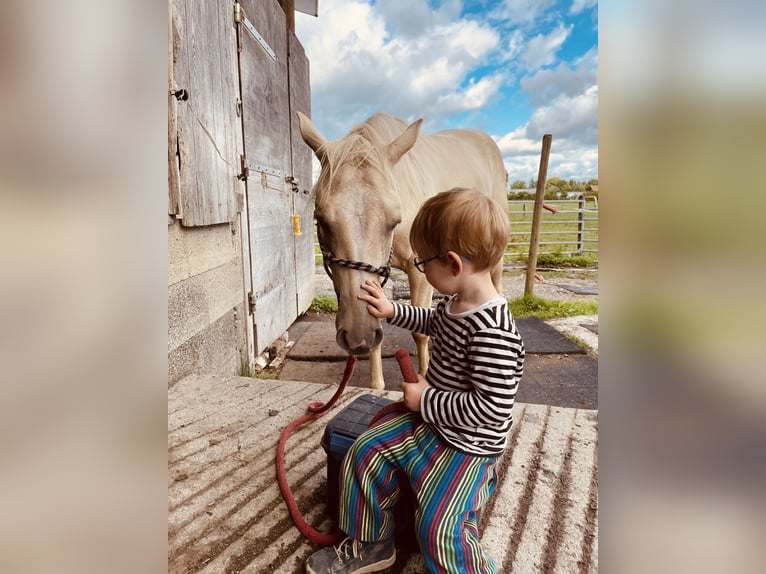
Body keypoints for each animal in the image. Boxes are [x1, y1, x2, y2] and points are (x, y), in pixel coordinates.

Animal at [300, 111, 510, 392]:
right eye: (321, 219)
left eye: (394, 220)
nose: (357, 335)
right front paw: (376, 383)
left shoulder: (419, 271)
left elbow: (421, 332)